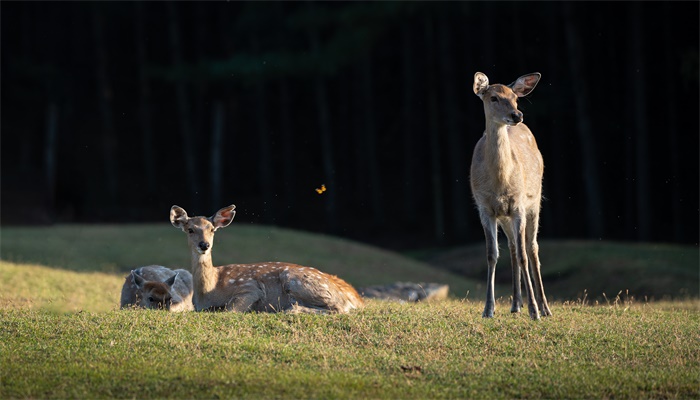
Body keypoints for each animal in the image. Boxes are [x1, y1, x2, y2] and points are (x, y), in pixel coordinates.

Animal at [169, 204, 364, 314]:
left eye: (212, 229)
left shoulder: (249, 287)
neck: (209, 290)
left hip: (296, 280)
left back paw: (290, 310)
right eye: (190, 230)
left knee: (338, 308)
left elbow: (230, 310)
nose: (204, 245)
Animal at [470, 72, 552, 320]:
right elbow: (492, 254)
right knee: (514, 248)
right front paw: (488, 309)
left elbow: (525, 255)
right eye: (494, 97)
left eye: (515, 98)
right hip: (505, 217)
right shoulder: (485, 209)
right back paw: (516, 304)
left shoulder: (518, 206)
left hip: (535, 202)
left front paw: (534, 311)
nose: (517, 115)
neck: (500, 183)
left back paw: (544, 307)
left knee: (532, 248)